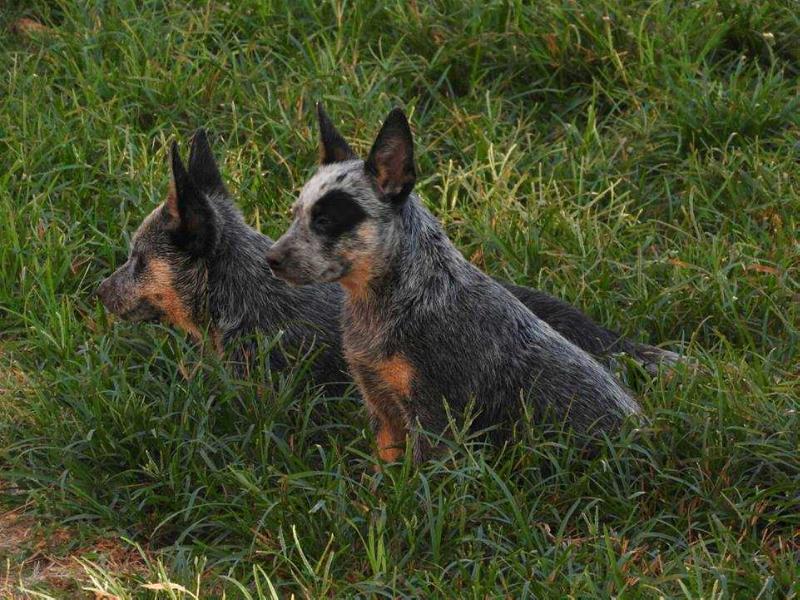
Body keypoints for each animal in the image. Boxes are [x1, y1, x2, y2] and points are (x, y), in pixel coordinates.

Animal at [266, 105, 652, 464]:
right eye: (295, 214)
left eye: (326, 220)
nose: (271, 258)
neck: (401, 294)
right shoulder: (381, 406)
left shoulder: (435, 416)